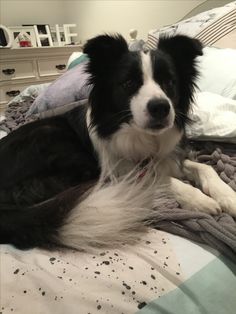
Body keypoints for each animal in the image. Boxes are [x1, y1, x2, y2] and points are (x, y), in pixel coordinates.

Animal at [0, 33, 236, 250]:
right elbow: (161, 178)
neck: (141, 136)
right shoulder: (119, 169)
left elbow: (205, 168)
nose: (160, 107)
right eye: (129, 83)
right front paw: (199, 199)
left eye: (169, 82)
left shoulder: (170, 155)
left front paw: (228, 196)